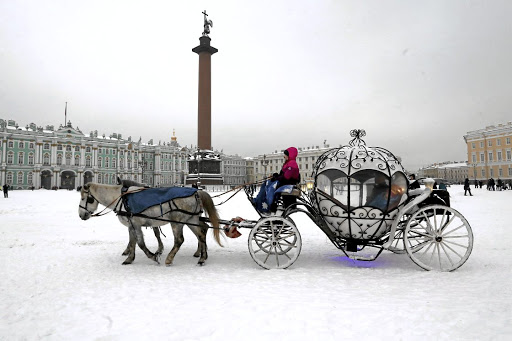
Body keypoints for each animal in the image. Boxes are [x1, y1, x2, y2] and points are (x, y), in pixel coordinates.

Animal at [77, 183, 221, 266]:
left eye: (85, 198)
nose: (81, 215)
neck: (122, 198)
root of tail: (196, 192)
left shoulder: (136, 225)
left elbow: (140, 243)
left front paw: (153, 256)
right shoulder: (131, 225)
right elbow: (133, 242)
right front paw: (129, 258)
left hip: (177, 222)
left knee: (180, 240)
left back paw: (169, 259)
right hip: (190, 220)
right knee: (201, 234)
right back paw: (202, 258)